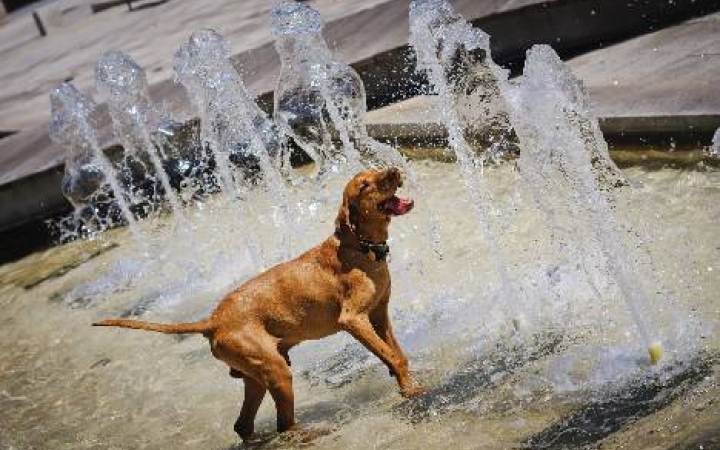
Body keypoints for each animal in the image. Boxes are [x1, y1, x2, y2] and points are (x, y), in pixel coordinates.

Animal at [93, 167, 424, 442]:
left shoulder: (379, 315)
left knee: (243, 426)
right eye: (364, 184)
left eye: (376, 169)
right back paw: (311, 432)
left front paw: (407, 383)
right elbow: (391, 356)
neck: (362, 248)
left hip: (258, 377)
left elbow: (398, 354)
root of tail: (213, 320)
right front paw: (410, 390)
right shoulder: (354, 320)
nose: (394, 169)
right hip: (277, 372)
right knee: (284, 426)